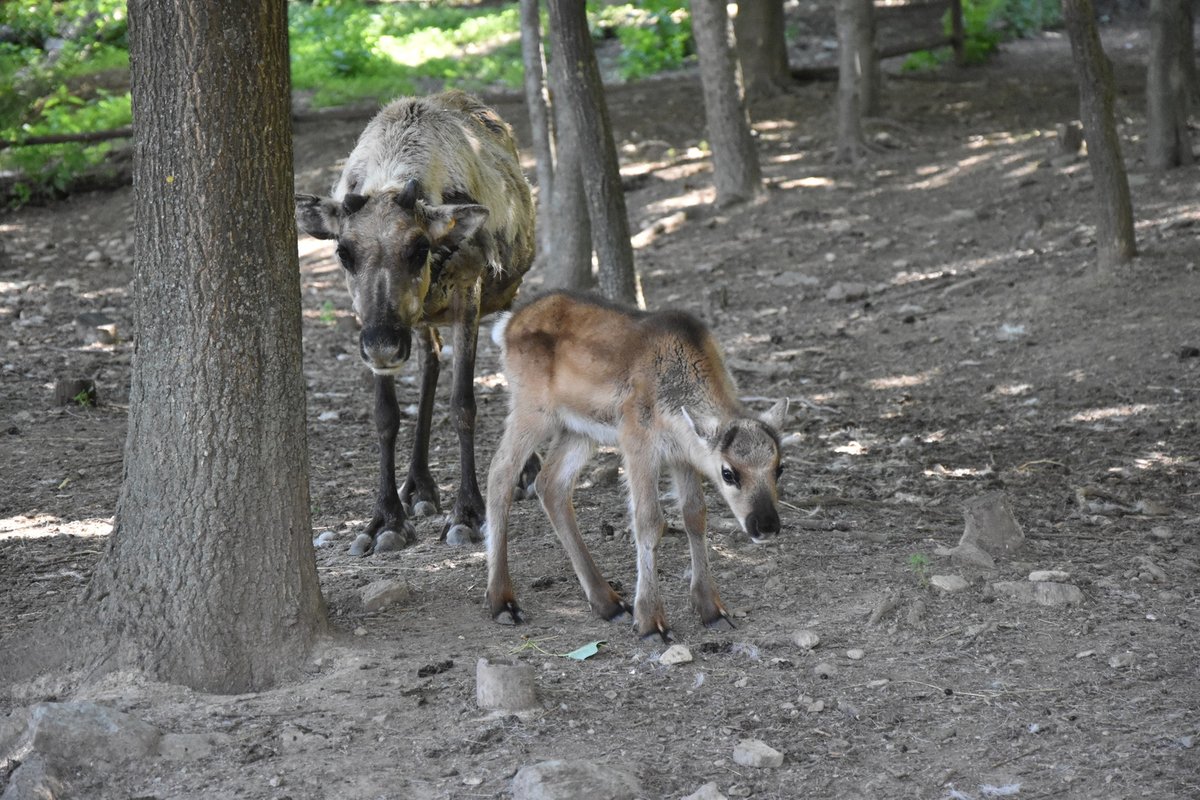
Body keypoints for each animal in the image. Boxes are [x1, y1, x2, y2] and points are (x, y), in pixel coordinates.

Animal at [295, 89, 535, 551]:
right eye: (343, 252)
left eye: (419, 248)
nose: (384, 346)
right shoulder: (371, 321)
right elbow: (385, 414)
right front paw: (386, 519)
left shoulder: (468, 291)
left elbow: (463, 404)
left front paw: (467, 513)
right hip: (421, 323)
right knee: (430, 363)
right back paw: (419, 486)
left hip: (510, 288)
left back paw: (526, 471)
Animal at [482, 291, 792, 642]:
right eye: (728, 473)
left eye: (779, 468)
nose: (765, 524)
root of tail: (507, 325)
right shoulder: (636, 440)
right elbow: (648, 522)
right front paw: (651, 621)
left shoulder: (681, 455)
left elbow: (695, 516)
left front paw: (711, 608)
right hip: (532, 408)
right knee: (500, 472)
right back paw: (502, 601)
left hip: (580, 429)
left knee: (551, 483)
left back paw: (608, 603)